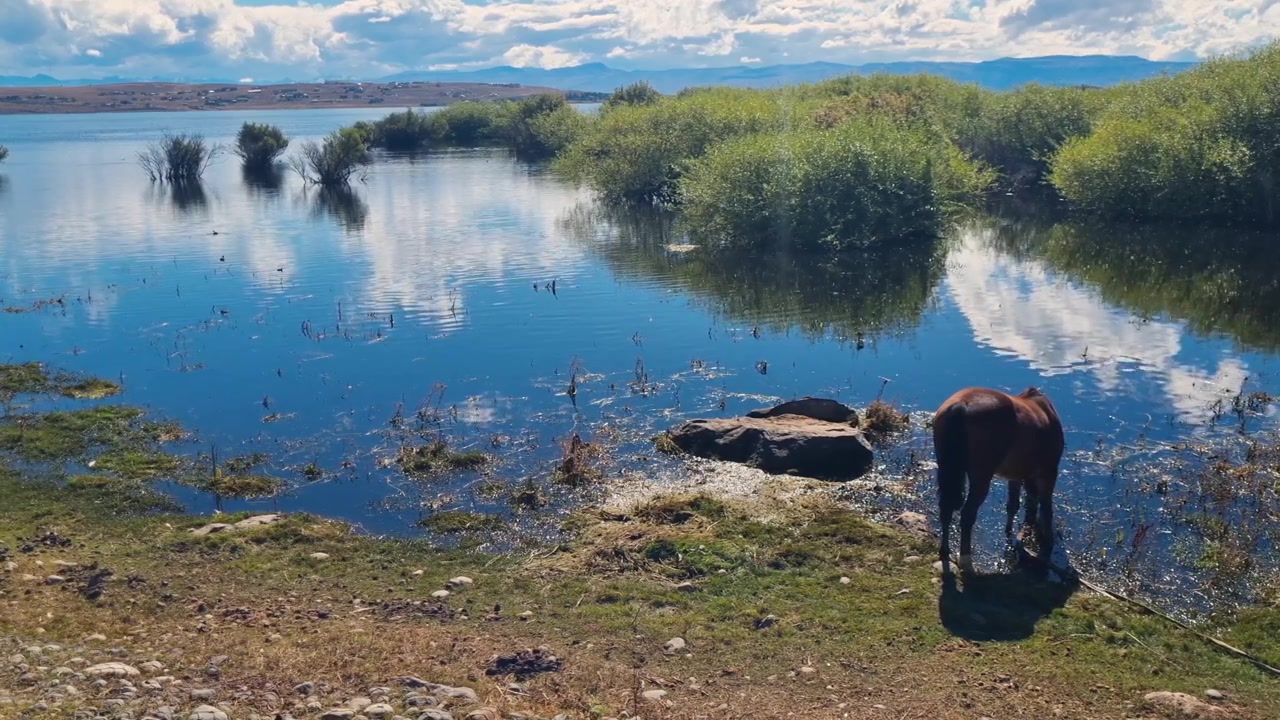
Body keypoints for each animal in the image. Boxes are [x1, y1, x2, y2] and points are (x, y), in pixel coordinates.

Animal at [932, 386, 1064, 574]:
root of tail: (960, 406)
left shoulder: (1015, 476)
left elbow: (1013, 505)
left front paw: (1009, 532)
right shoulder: (1048, 472)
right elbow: (1046, 509)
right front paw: (1048, 542)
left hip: (946, 469)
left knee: (946, 509)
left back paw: (945, 551)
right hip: (981, 476)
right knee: (967, 515)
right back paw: (966, 562)